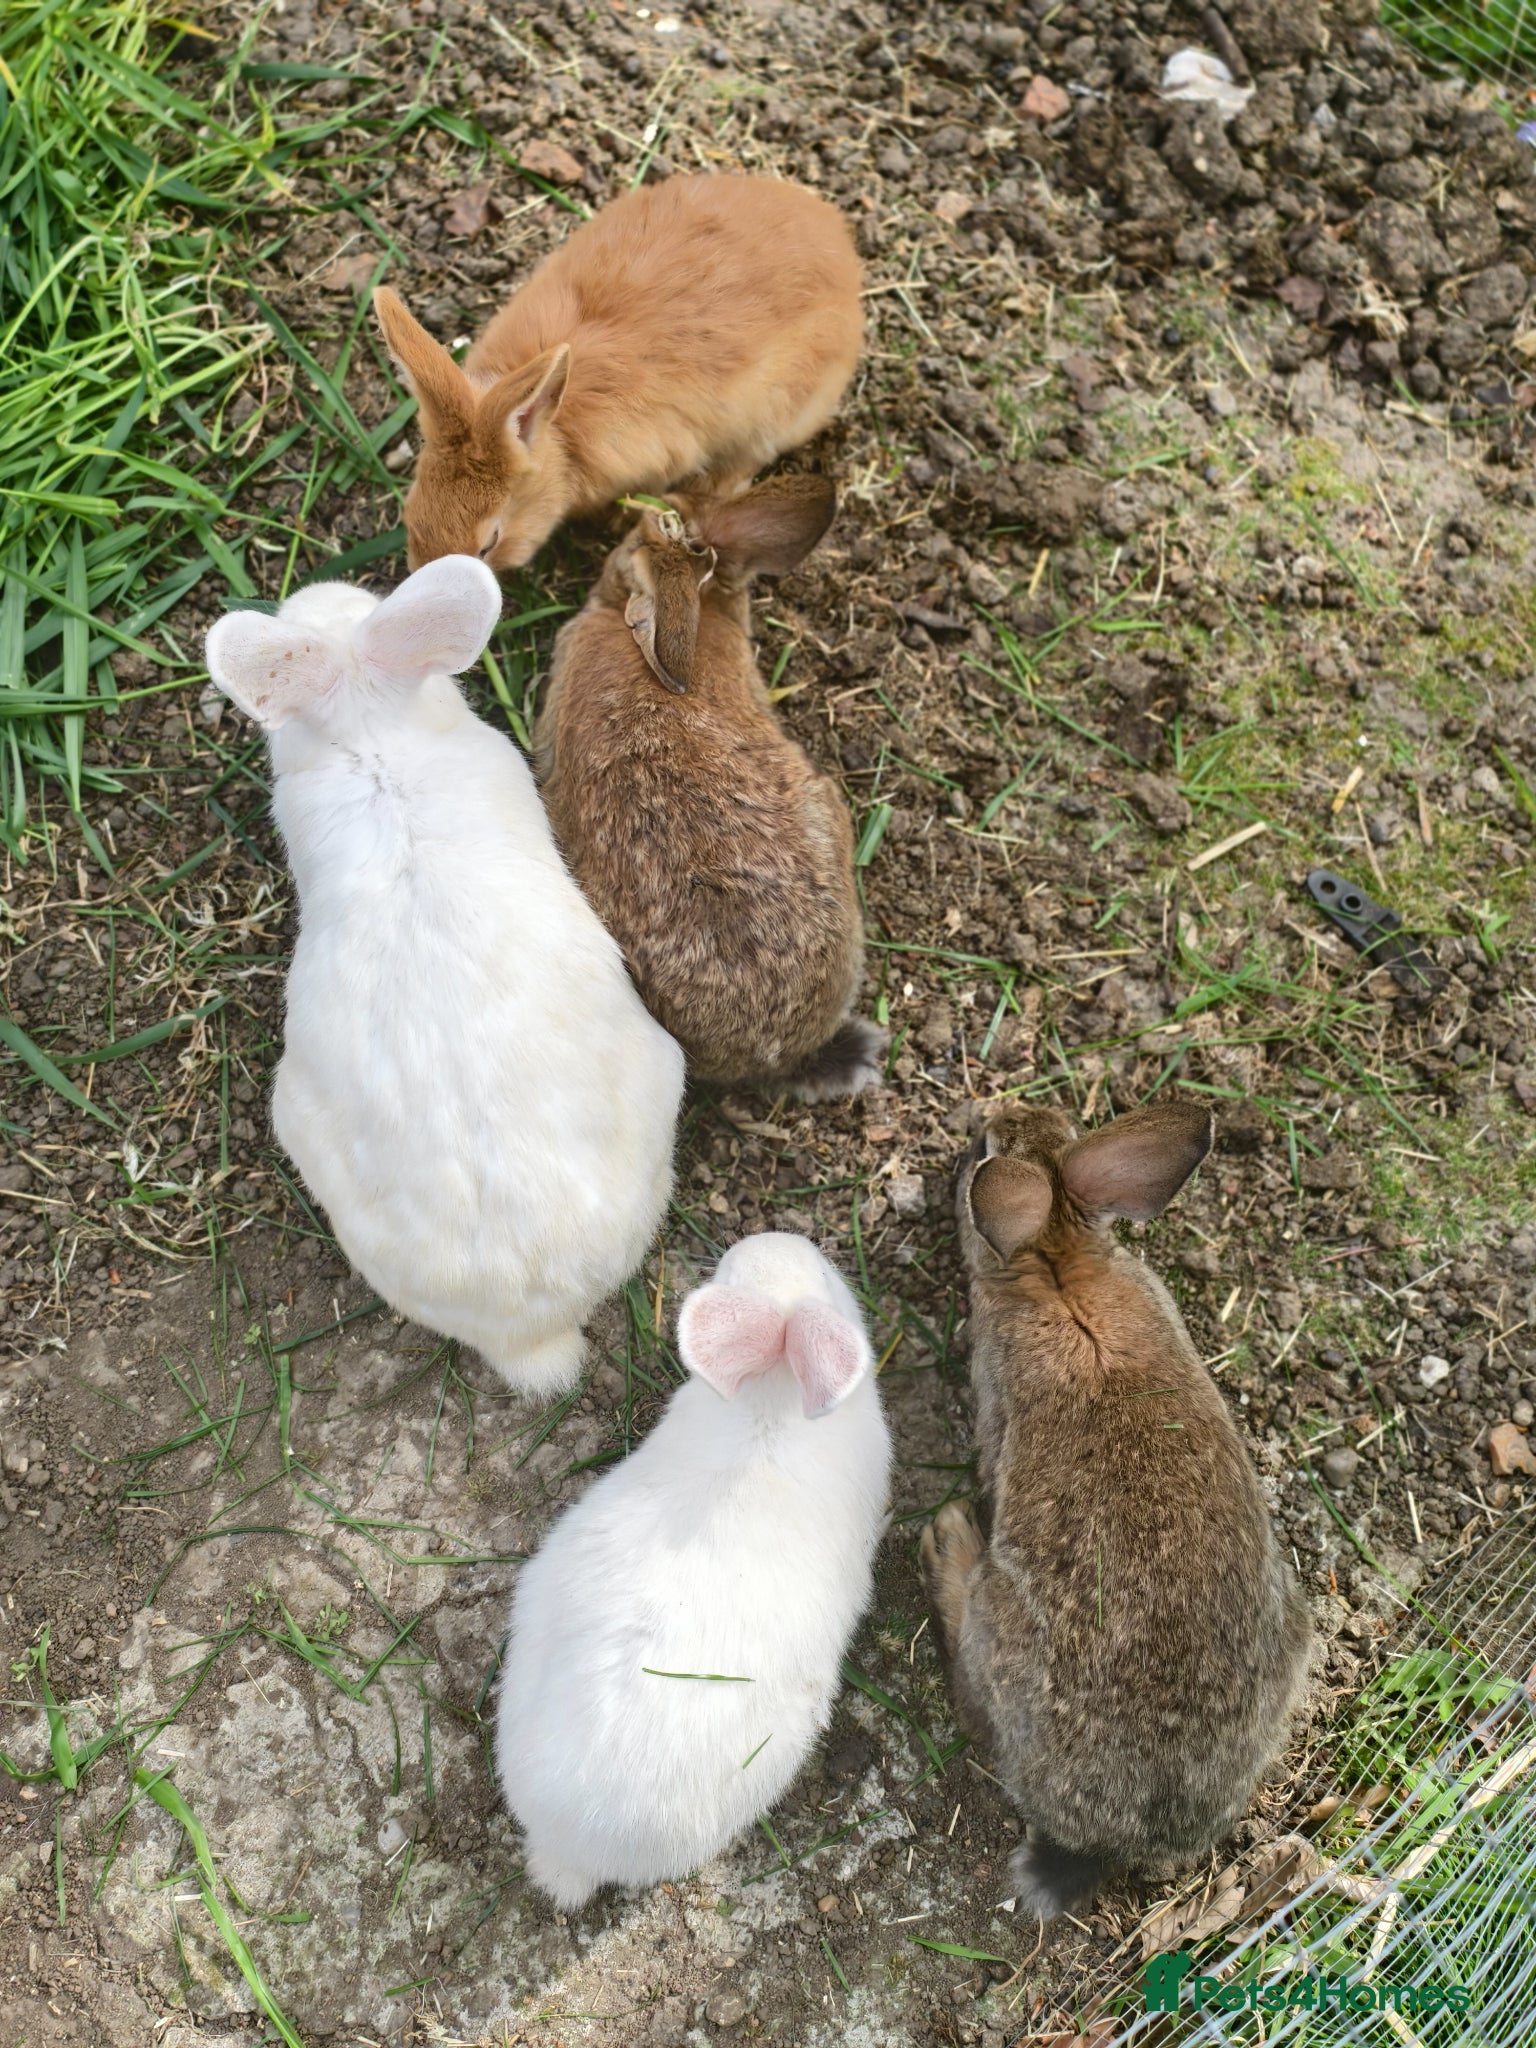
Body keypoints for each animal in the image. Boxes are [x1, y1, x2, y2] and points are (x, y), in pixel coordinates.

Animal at [921, 1099, 1311, 1921]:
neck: (1056, 1259)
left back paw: (945, 1541)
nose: (987, 1113)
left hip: (998, 1635)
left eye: (980, 1152)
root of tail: (1111, 1842)